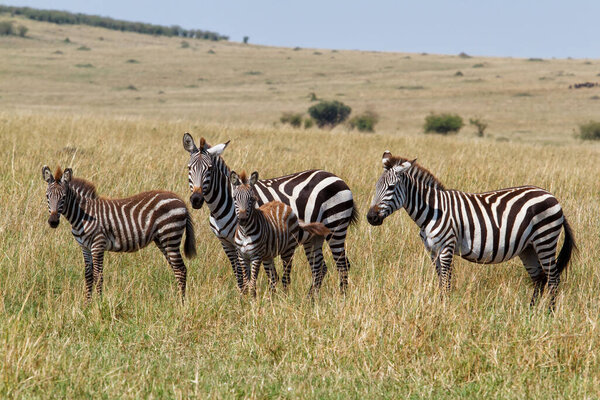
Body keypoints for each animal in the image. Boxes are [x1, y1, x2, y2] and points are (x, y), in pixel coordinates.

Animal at [42, 166, 197, 304]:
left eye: (63, 197)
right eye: (47, 196)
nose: (53, 222)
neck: (82, 215)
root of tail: (181, 200)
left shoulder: (98, 244)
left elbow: (98, 275)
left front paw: (99, 304)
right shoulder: (84, 247)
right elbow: (88, 275)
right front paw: (87, 304)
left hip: (170, 236)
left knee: (181, 269)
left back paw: (181, 303)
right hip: (162, 240)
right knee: (176, 269)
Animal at [180, 134, 354, 294]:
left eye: (209, 169)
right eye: (189, 168)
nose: (196, 200)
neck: (223, 203)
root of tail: (335, 176)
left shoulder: (250, 240)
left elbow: (254, 274)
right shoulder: (226, 242)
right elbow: (239, 274)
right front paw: (243, 298)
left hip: (336, 228)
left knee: (342, 265)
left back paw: (341, 298)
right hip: (314, 237)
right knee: (320, 268)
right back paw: (311, 299)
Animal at [366, 152, 576, 310]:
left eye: (392, 187)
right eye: (376, 187)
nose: (371, 217)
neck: (432, 211)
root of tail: (552, 196)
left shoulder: (447, 247)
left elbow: (446, 281)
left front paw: (444, 309)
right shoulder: (432, 251)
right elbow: (440, 280)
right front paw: (440, 307)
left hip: (545, 239)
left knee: (553, 279)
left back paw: (549, 314)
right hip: (528, 248)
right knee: (539, 279)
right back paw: (531, 313)